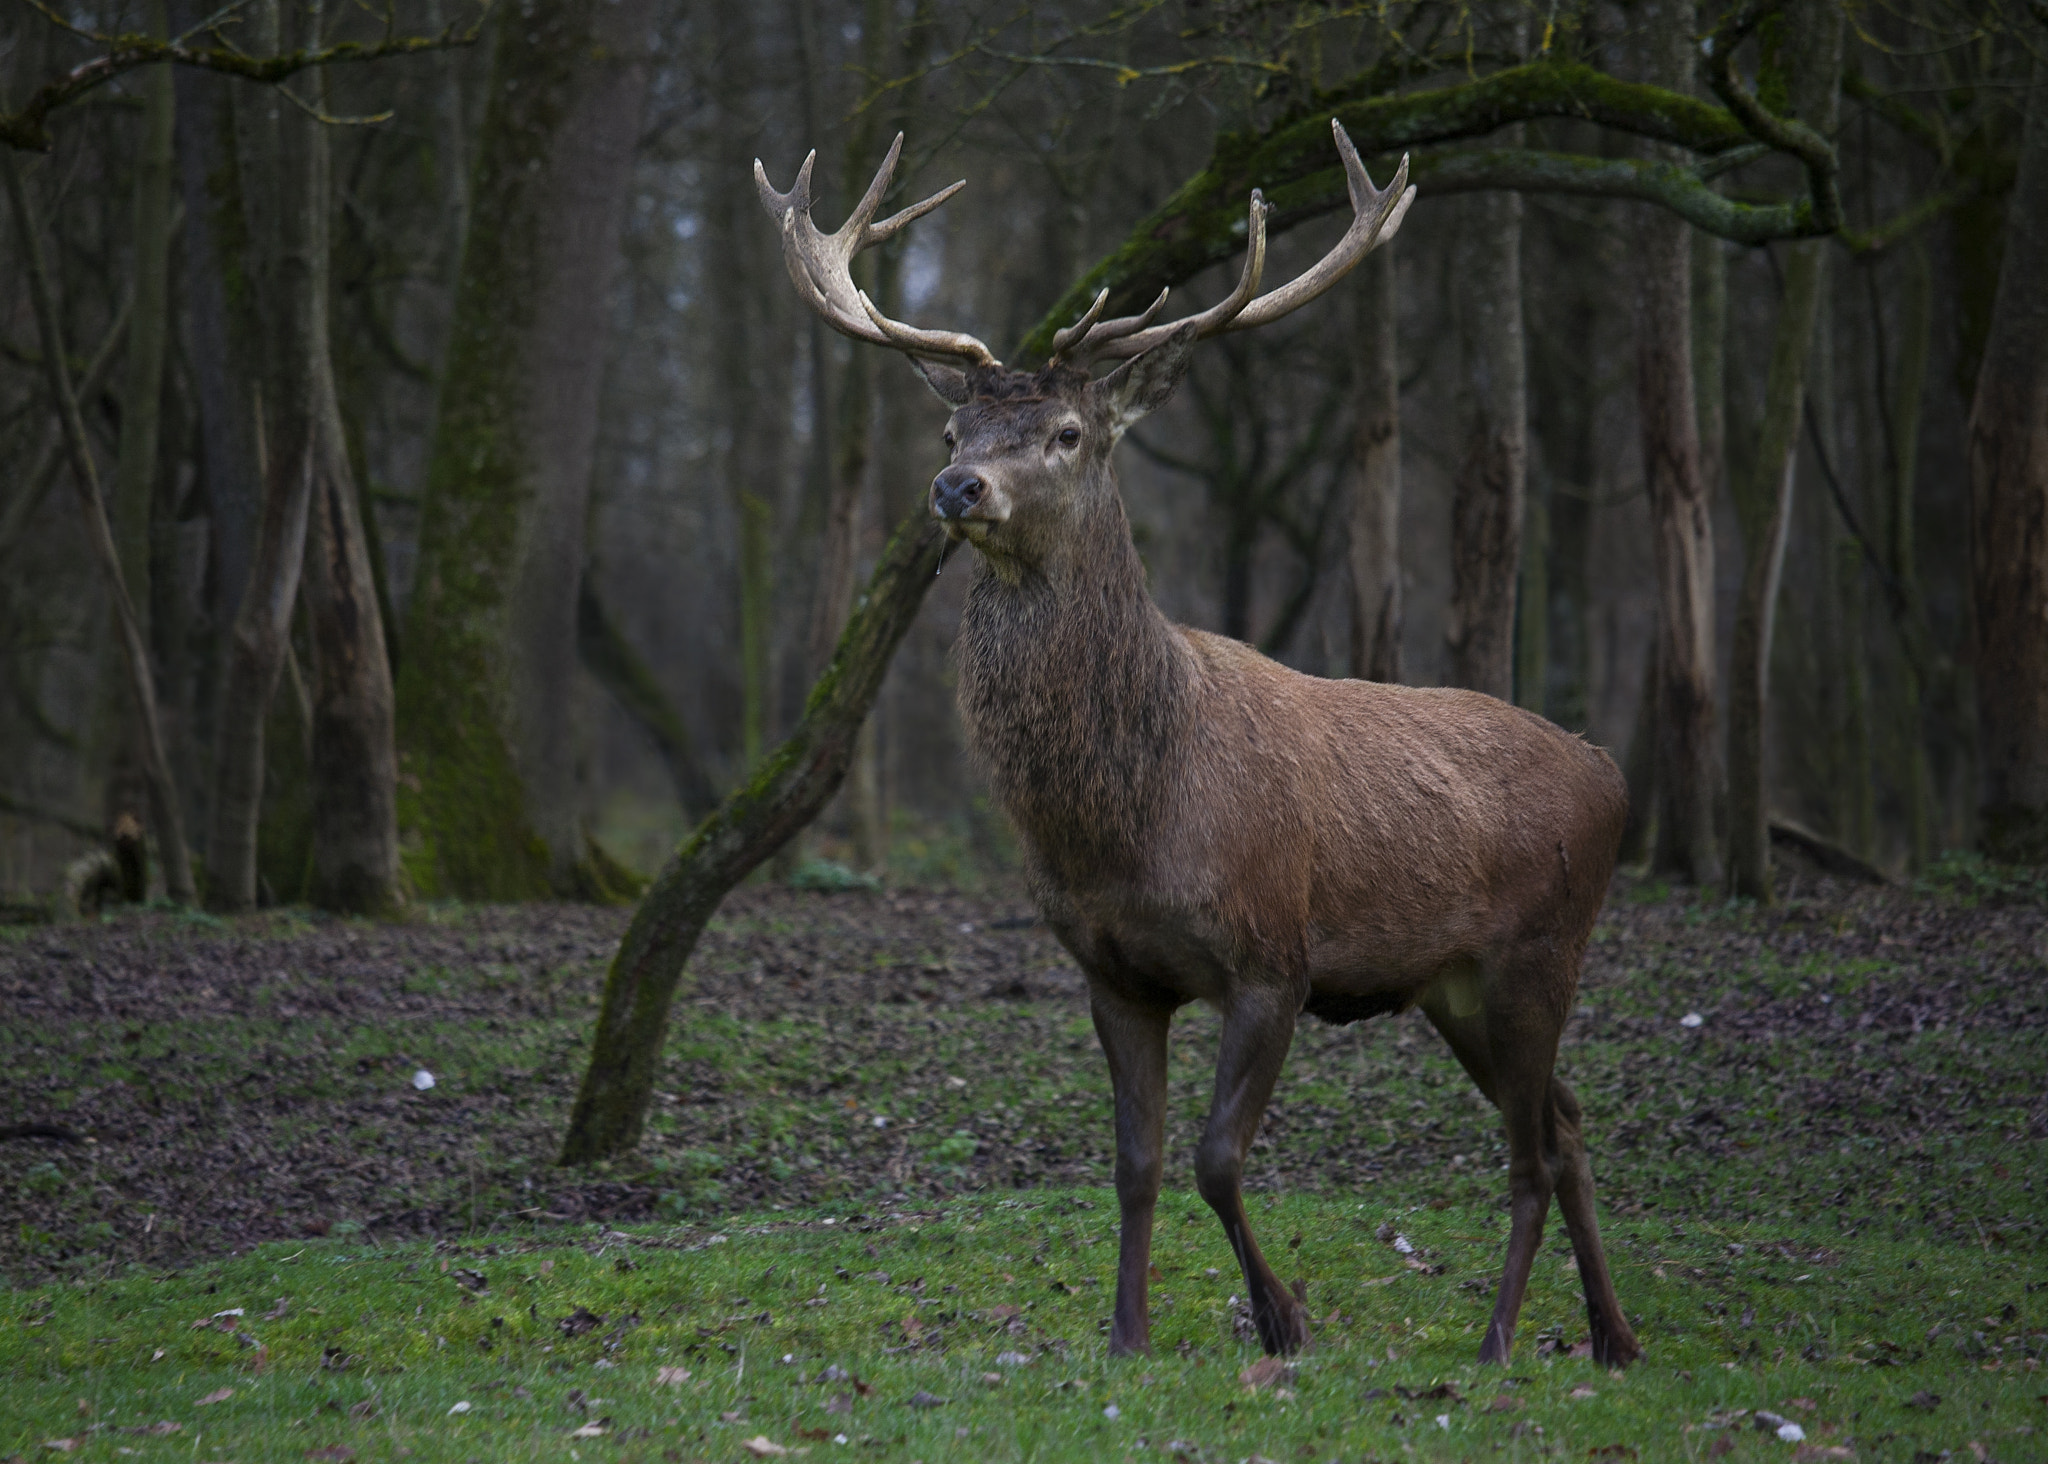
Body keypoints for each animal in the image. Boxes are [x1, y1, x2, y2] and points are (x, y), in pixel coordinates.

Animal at [756, 129, 1641, 1369]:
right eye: (950, 429)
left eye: (1067, 434)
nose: (954, 486)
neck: (1129, 816)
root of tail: (1609, 772)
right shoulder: (1110, 972)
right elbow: (1137, 1163)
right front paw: (1124, 1334)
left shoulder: (1273, 955)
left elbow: (1219, 1159)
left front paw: (1281, 1319)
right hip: (1452, 986)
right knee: (1563, 1120)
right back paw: (1612, 1337)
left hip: (1539, 951)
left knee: (1528, 1146)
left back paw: (1499, 1342)